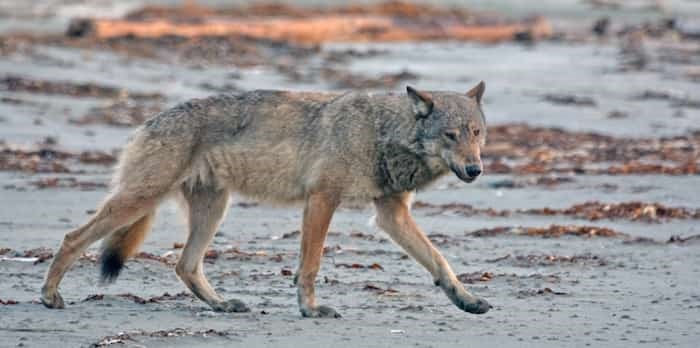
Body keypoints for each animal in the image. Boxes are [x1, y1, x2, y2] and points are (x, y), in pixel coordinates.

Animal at [41, 82, 492, 318]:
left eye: (476, 133)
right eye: (450, 135)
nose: (475, 170)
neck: (381, 132)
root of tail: (147, 121)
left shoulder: (391, 213)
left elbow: (440, 261)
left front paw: (466, 299)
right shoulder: (321, 199)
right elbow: (310, 267)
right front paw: (311, 310)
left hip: (212, 211)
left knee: (184, 265)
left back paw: (222, 304)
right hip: (139, 201)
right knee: (71, 237)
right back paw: (49, 296)